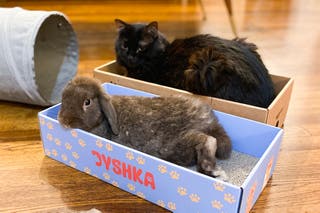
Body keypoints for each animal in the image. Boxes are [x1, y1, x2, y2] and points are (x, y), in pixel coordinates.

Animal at [57, 76, 231, 176]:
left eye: (87, 102)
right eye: (63, 97)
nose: (63, 121)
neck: (104, 119)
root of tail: (210, 120)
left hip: (177, 144)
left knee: (208, 140)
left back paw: (211, 169)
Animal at [114, 19, 274, 107]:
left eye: (140, 48)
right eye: (125, 46)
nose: (129, 56)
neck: (162, 55)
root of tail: (268, 96)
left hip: (204, 67)